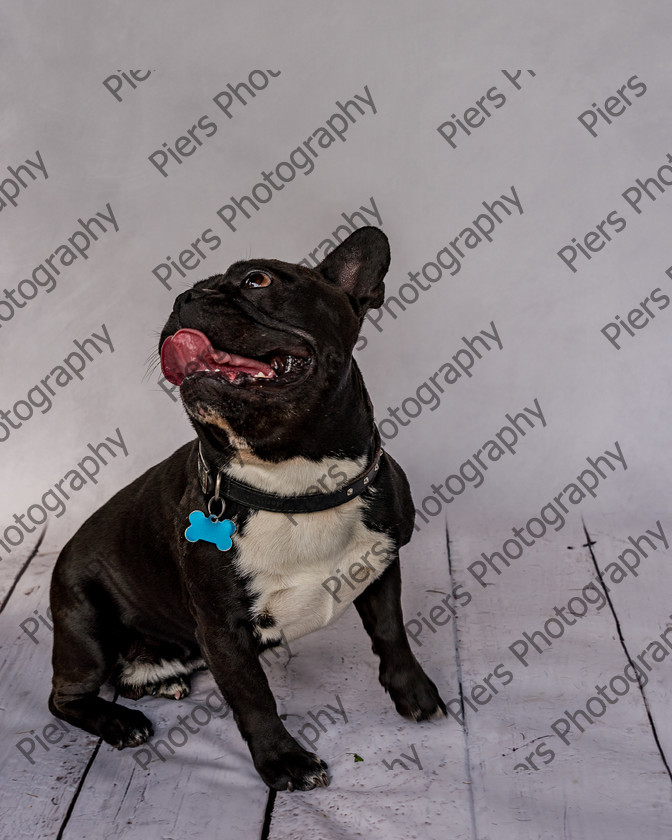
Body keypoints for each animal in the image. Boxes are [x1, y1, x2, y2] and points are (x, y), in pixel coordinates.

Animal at [51, 226, 446, 792]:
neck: (295, 484)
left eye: (256, 280)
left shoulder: (382, 563)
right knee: (67, 696)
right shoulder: (223, 629)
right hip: (84, 624)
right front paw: (285, 761)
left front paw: (412, 691)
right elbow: (253, 696)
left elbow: (392, 631)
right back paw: (120, 722)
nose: (184, 297)